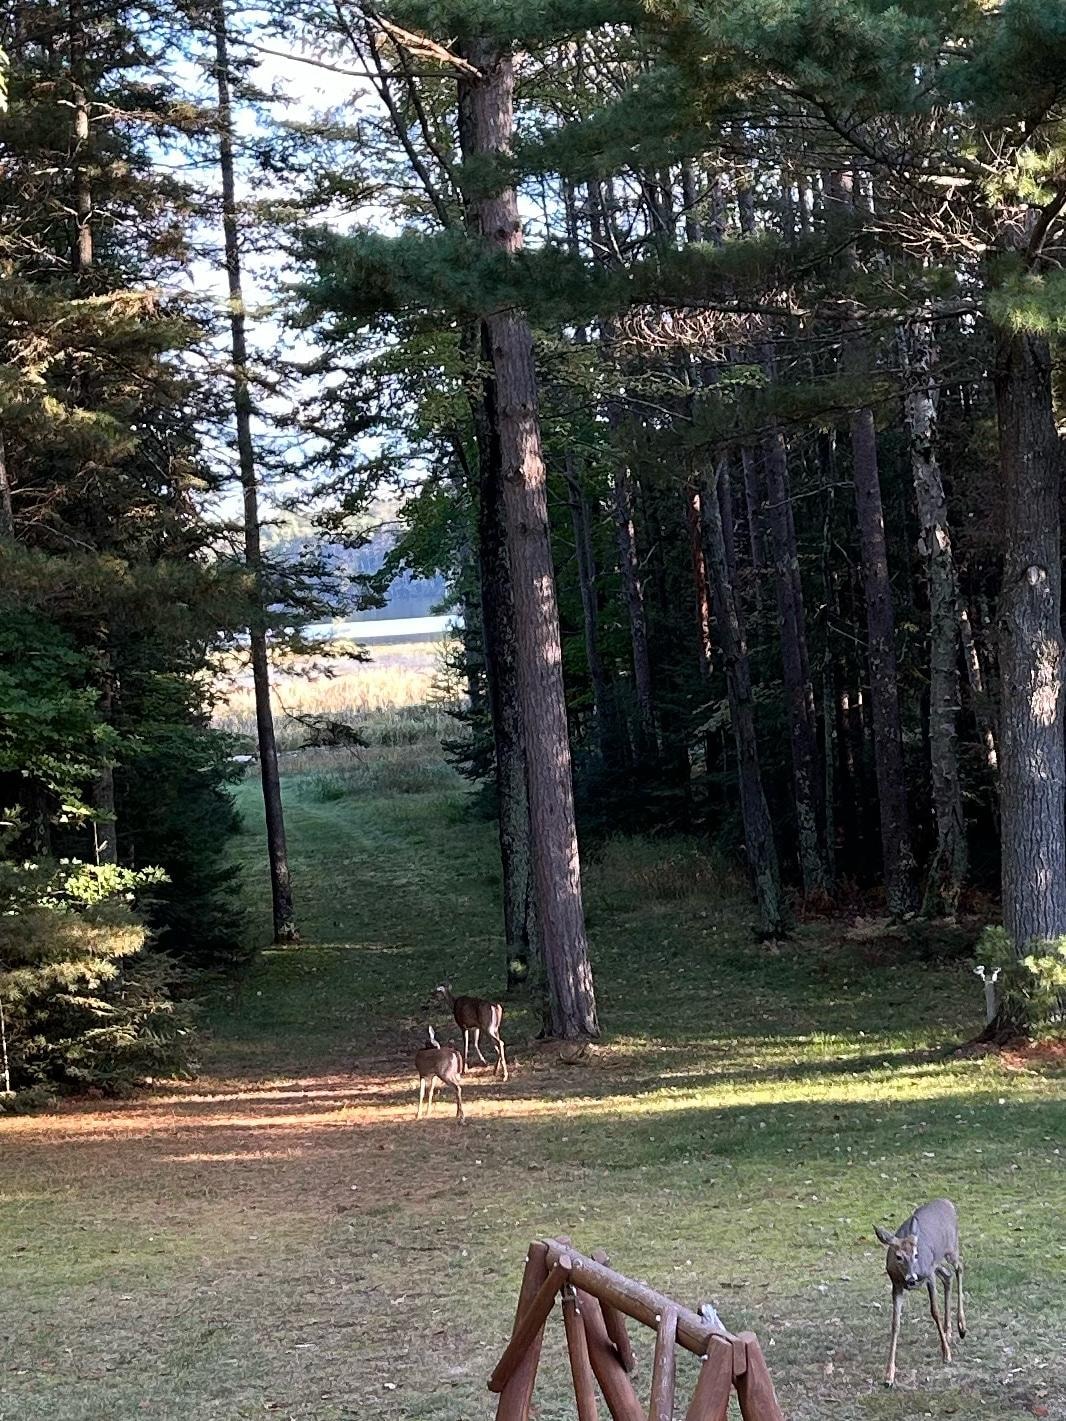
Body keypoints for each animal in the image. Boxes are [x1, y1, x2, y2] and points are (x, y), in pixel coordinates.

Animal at [874, 1198, 966, 1388]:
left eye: (916, 1254)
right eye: (898, 1256)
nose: (911, 1279)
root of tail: (948, 1202)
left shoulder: (928, 1274)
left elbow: (935, 1311)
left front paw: (947, 1354)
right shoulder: (896, 1285)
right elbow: (895, 1323)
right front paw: (889, 1375)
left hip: (951, 1248)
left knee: (959, 1267)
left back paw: (962, 1327)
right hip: (937, 1261)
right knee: (948, 1276)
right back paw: (948, 1331)